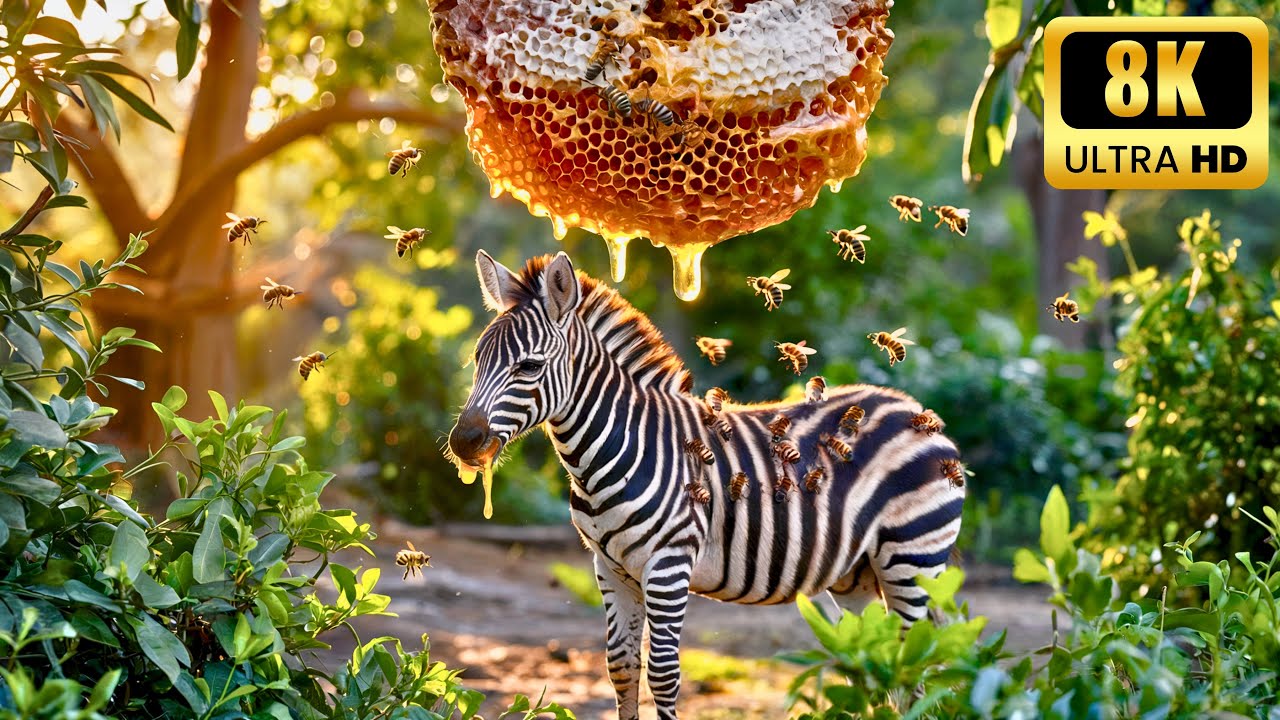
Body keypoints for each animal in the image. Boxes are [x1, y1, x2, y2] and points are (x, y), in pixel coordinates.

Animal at [447, 250, 966, 720]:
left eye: (529, 367)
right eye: (477, 359)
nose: (463, 441)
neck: (612, 449)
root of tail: (919, 411)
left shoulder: (669, 564)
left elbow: (662, 673)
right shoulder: (609, 568)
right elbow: (622, 668)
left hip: (911, 556)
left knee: (912, 664)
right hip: (858, 573)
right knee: (877, 660)